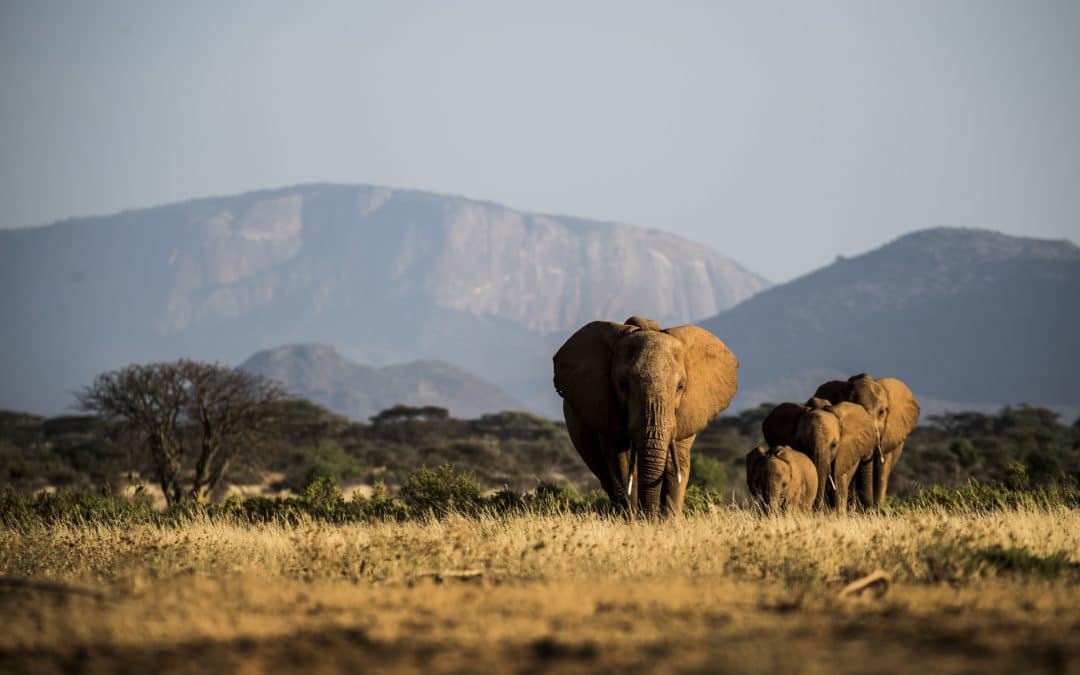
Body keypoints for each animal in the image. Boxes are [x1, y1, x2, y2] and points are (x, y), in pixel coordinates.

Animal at [552, 315, 738, 516]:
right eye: (624, 385)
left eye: (680, 386)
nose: (650, 515)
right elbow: (621, 463)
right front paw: (635, 518)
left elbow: (676, 464)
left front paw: (668, 519)